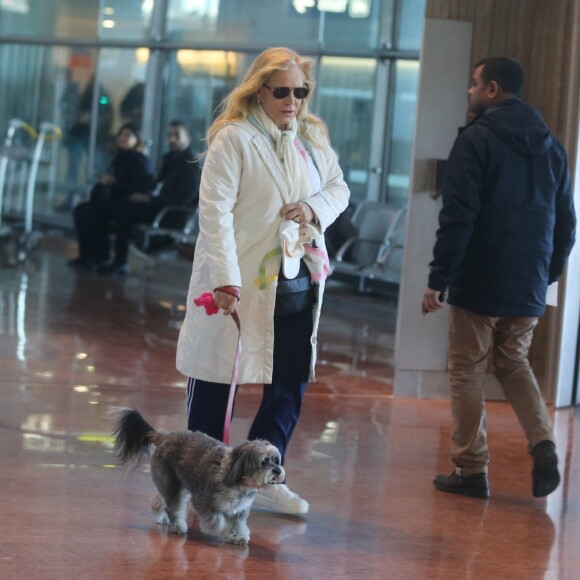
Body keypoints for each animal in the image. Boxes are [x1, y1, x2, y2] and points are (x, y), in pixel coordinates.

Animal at [110, 408, 284, 544]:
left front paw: (237, 537)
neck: (235, 479)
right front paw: (219, 530)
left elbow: (238, 524)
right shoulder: (203, 501)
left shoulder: (240, 510)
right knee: (175, 507)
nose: (277, 471)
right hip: (174, 485)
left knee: (159, 498)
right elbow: (216, 520)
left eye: (276, 460)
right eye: (264, 461)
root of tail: (163, 437)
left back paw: (160, 515)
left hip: (179, 484)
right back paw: (177, 526)